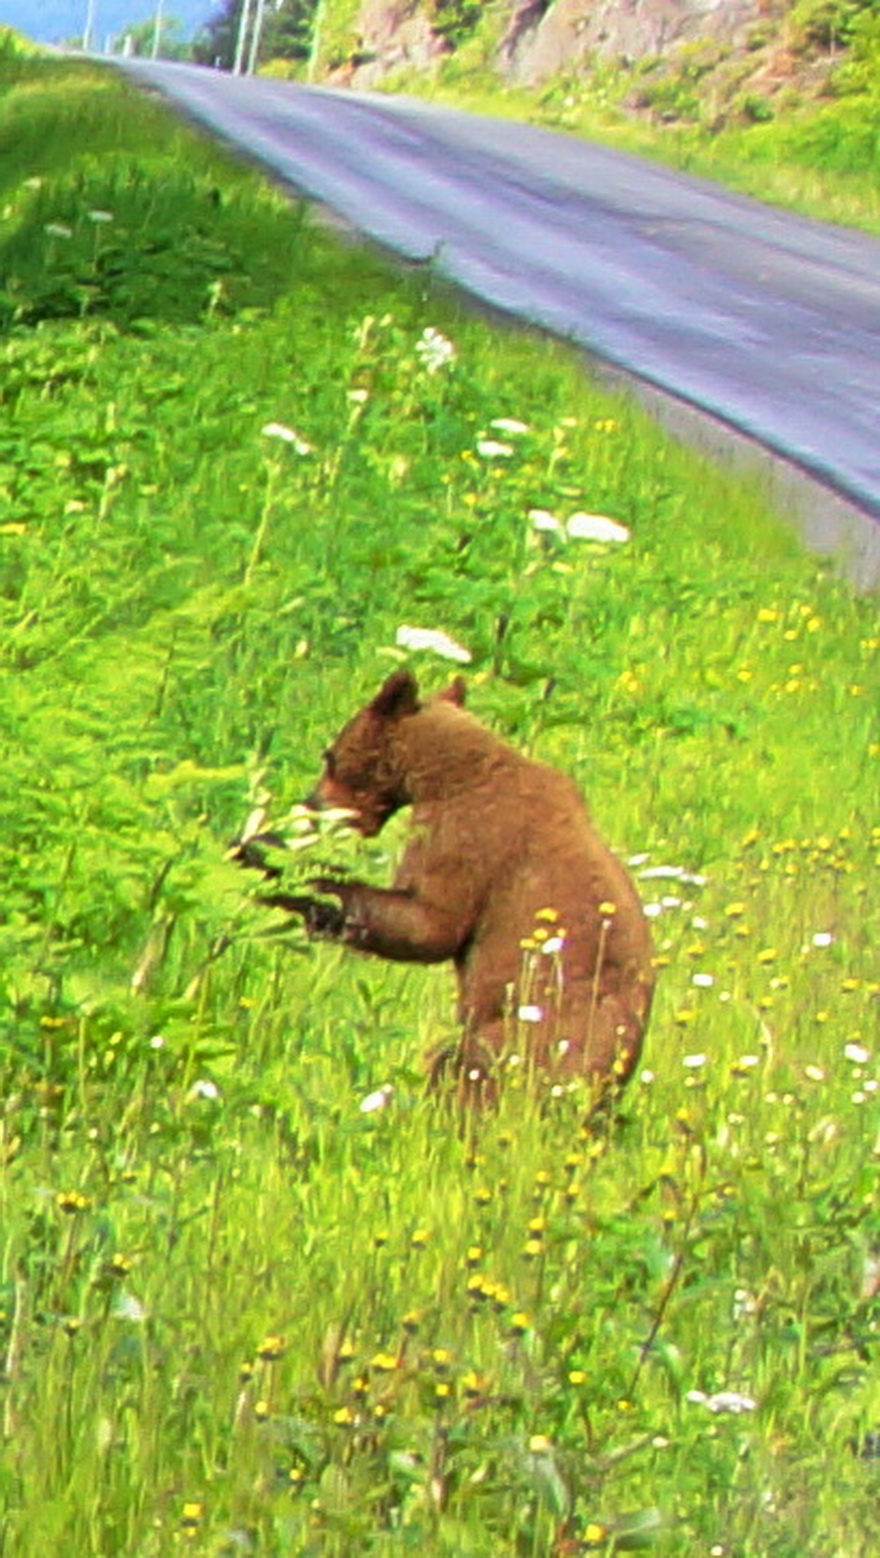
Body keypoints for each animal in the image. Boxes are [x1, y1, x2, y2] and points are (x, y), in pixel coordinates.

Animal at [253, 669, 654, 1104]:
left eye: (330, 756)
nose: (311, 803)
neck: (443, 772)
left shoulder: (467, 833)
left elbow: (430, 923)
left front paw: (272, 860)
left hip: (526, 1037)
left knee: (463, 1067)